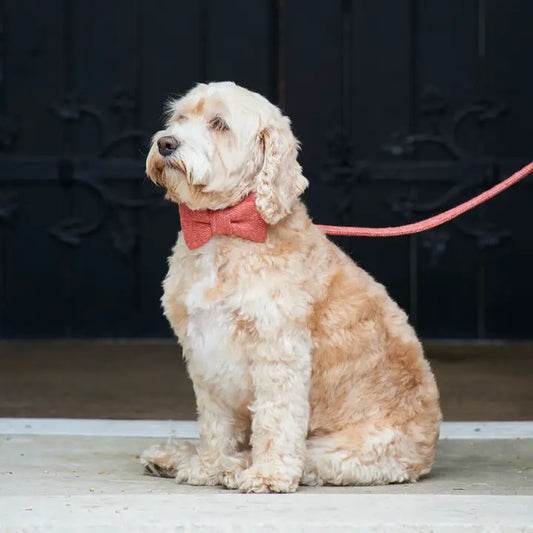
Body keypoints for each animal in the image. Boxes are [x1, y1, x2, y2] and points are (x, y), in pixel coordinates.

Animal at [140, 81, 440, 492]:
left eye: (219, 124)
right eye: (179, 118)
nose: (166, 143)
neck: (224, 227)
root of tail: (426, 453)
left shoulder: (278, 348)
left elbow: (276, 418)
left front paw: (266, 474)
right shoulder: (204, 350)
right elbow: (215, 422)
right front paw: (207, 464)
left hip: (349, 450)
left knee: (305, 459)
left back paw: (236, 467)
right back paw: (178, 458)